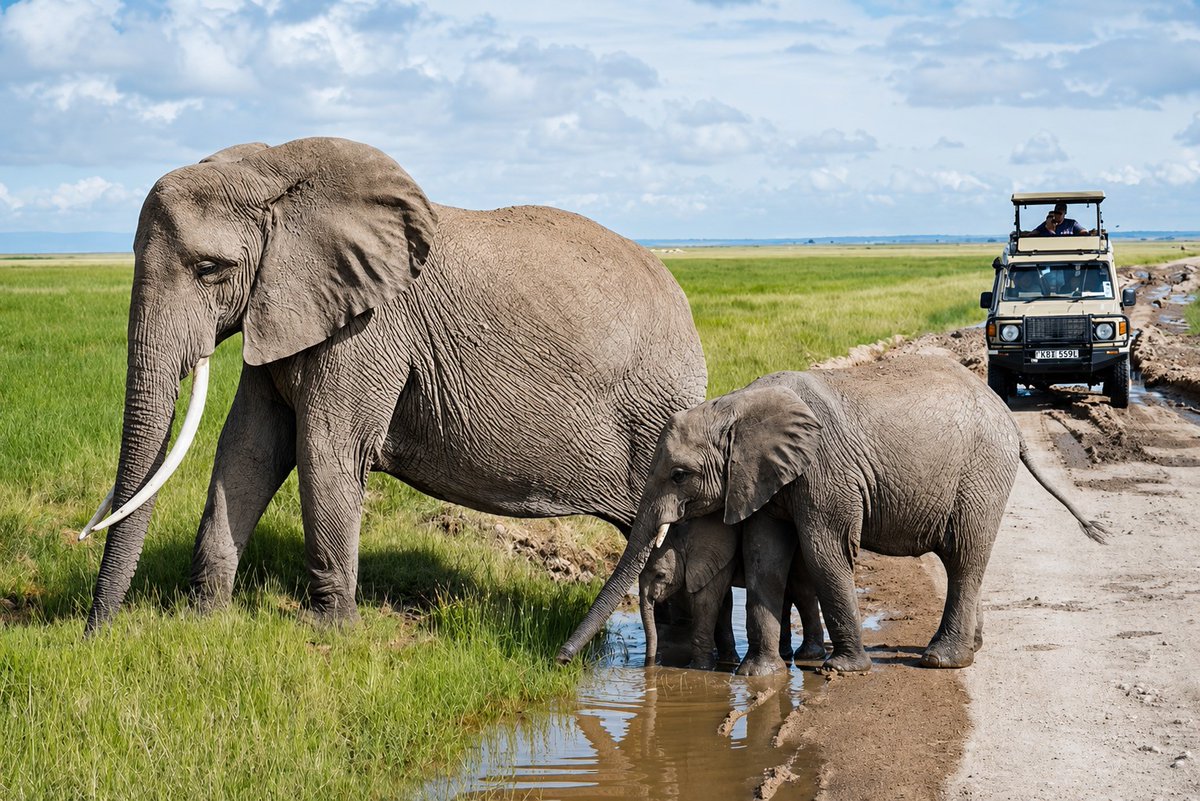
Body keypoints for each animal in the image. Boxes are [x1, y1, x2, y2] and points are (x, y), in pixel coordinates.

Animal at [78, 136, 707, 633]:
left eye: (210, 270)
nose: (95, 633)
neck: (272, 169)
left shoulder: (370, 326)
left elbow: (325, 448)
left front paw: (331, 633)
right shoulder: (285, 309)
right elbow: (249, 447)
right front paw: (203, 619)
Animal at [639, 512, 825, 670]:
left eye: (660, 575)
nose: (651, 665)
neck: (682, 536)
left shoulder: (715, 555)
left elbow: (706, 602)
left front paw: (699, 668)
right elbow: (722, 602)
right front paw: (729, 661)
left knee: (801, 591)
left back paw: (808, 655)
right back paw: (786, 654)